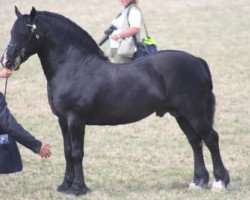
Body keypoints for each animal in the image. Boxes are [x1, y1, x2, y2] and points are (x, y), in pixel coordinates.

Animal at [1, 7, 229, 195]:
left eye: (27, 33)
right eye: (12, 32)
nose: (7, 61)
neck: (74, 67)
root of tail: (197, 61)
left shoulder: (76, 120)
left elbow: (77, 152)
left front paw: (78, 188)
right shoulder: (63, 120)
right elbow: (67, 151)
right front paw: (65, 186)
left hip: (195, 113)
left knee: (211, 139)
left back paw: (220, 182)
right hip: (180, 115)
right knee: (195, 141)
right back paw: (198, 182)